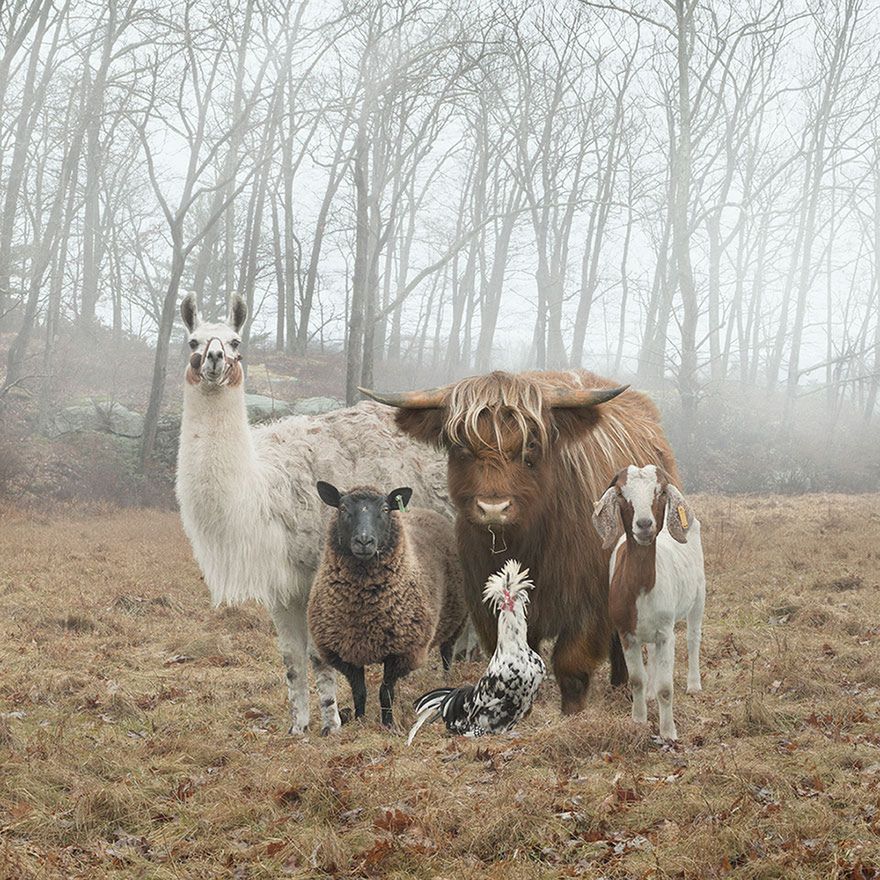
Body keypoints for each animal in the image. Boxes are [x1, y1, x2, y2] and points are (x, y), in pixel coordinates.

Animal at [592, 464, 708, 740]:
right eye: (620, 493)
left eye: (661, 491)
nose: (644, 524)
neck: (642, 587)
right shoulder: (626, 632)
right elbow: (636, 680)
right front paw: (638, 721)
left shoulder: (666, 633)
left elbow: (667, 687)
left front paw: (668, 733)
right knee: (653, 653)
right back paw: (651, 694)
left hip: (699, 595)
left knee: (693, 639)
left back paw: (694, 684)